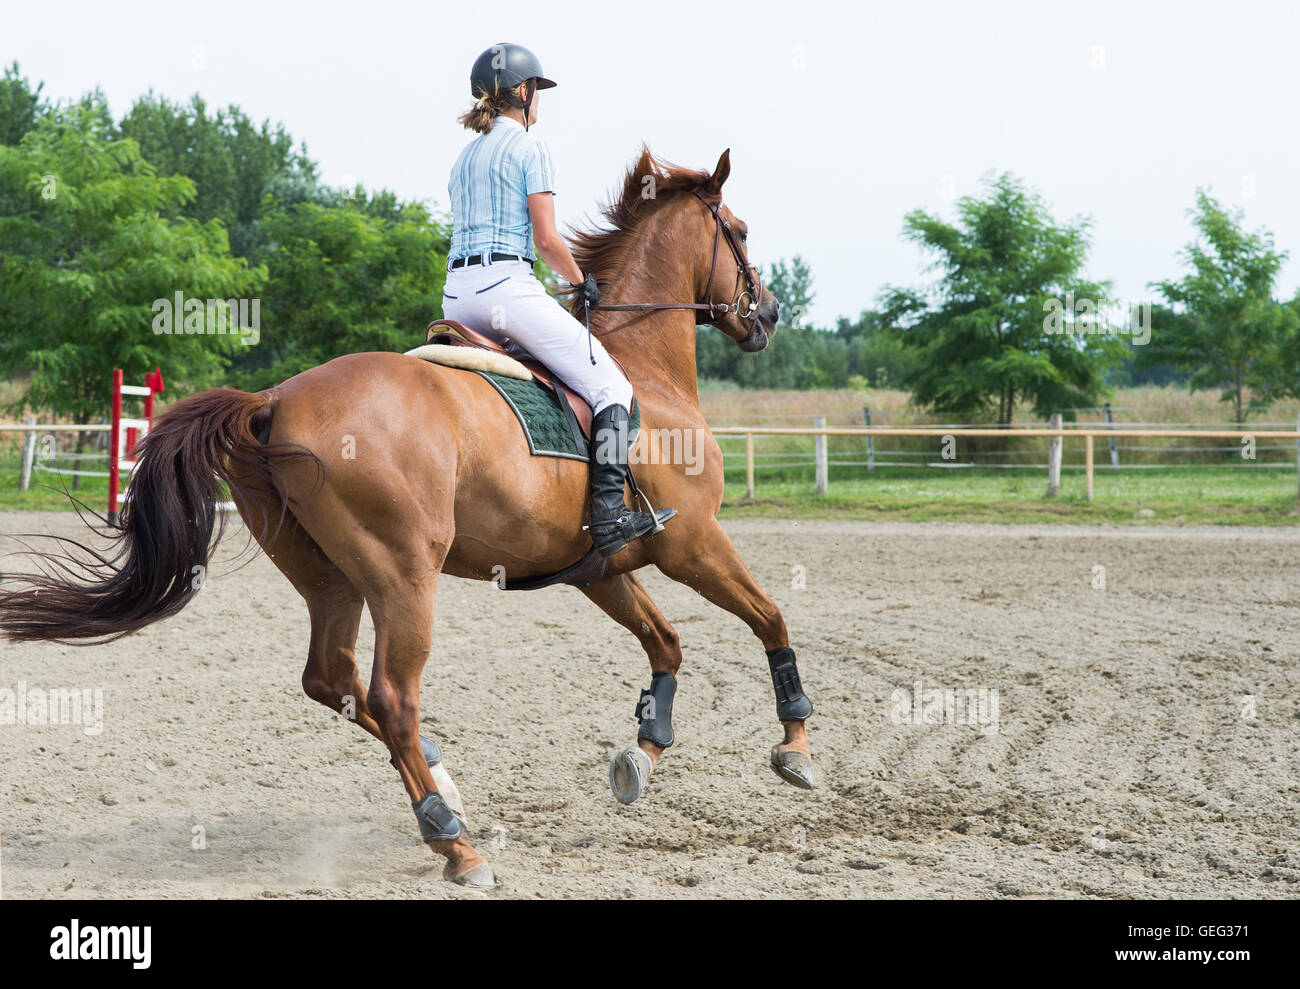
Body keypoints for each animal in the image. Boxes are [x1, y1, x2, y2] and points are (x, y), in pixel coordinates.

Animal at [0, 146, 811, 888]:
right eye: (740, 230)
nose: (768, 314)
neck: (643, 369)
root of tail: (274, 400)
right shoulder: (692, 543)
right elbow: (770, 616)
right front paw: (797, 747)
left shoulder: (599, 569)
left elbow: (666, 643)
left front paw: (644, 750)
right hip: (404, 576)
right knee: (392, 696)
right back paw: (455, 842)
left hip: (331, 579)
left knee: (332, 680)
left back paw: (446, 787)